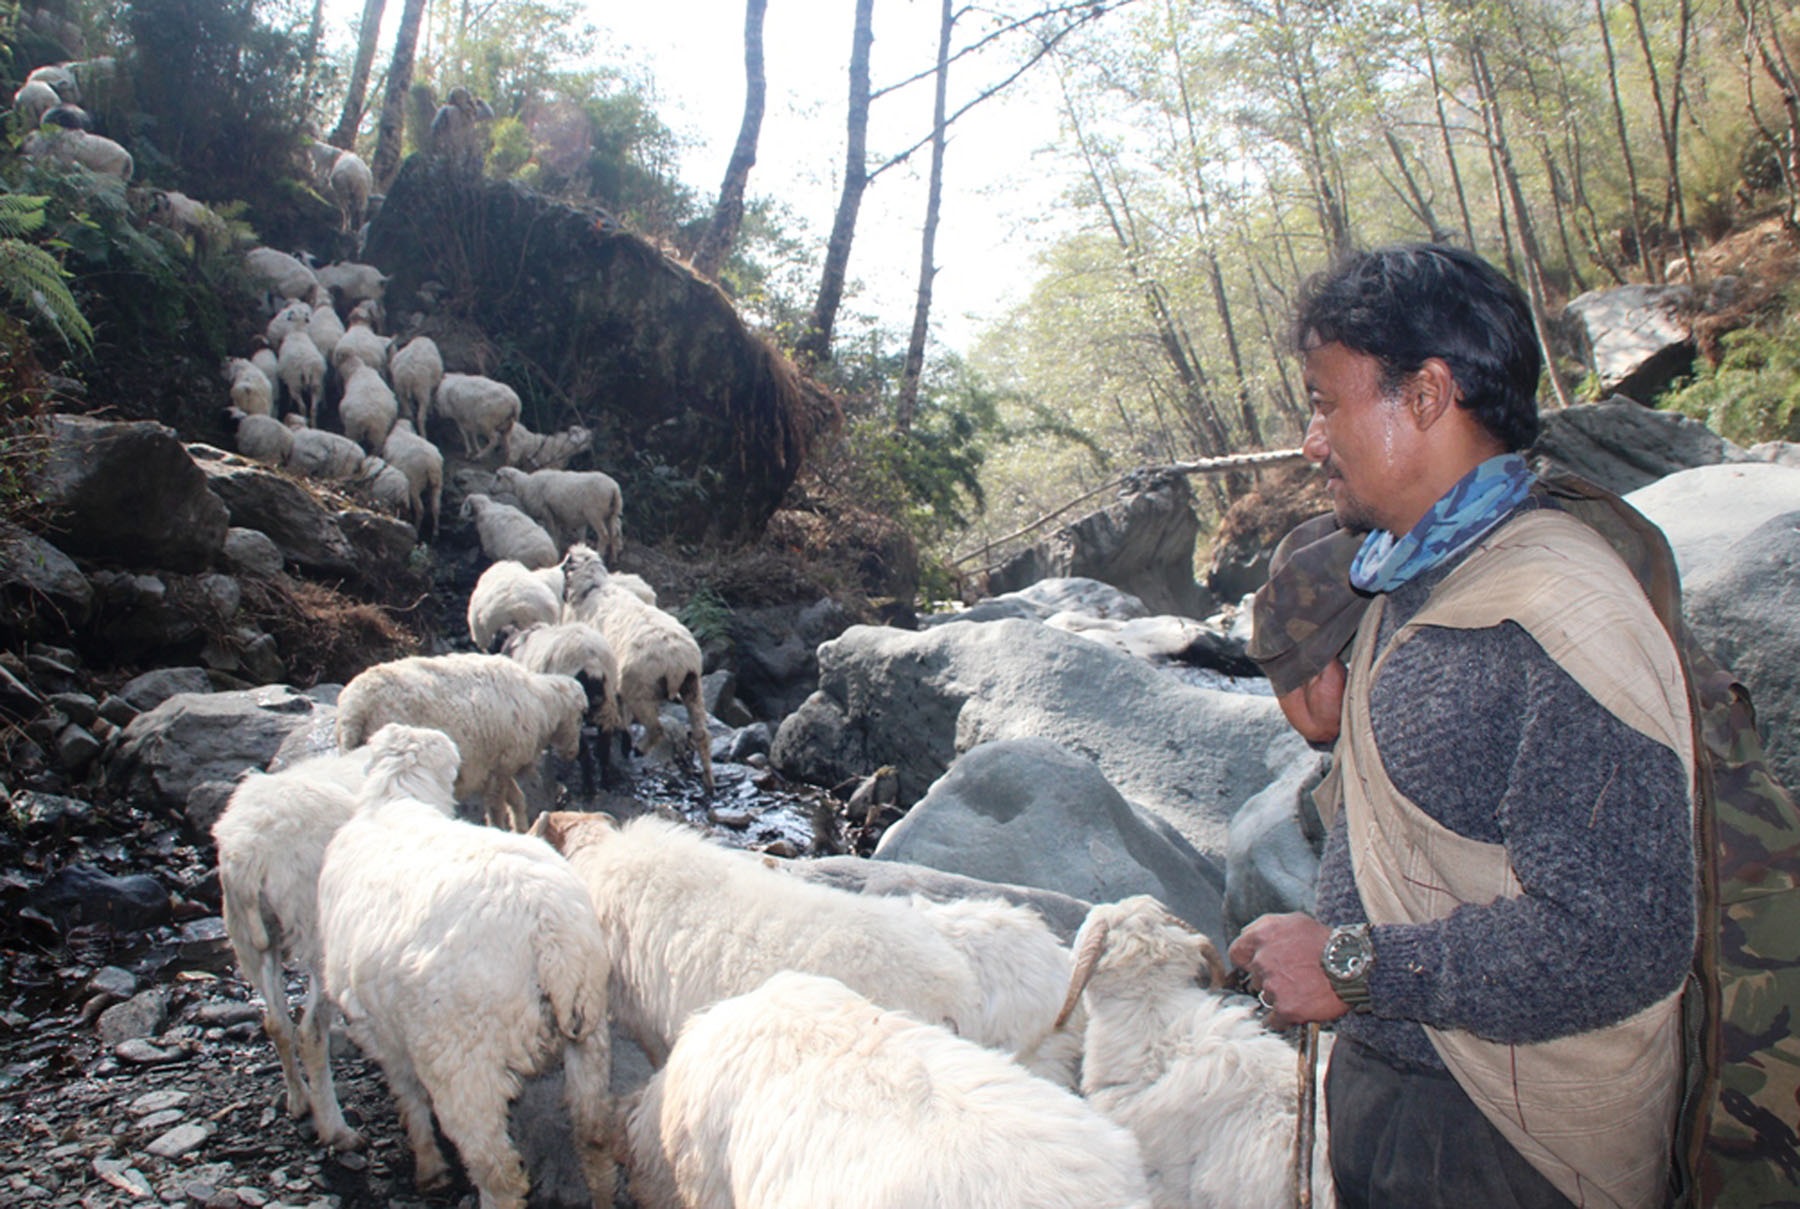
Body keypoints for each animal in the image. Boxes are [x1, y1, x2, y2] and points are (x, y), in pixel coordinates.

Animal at [324, 723, 626, 1201]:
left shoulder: (381, 1031)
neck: (396, 800)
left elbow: (408, 1093)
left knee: (499, 1172)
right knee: (594, 1136)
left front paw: (429, 1168)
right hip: (590, 1031)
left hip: (463, 1064)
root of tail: (548, 932)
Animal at [334, 651, 586, 831]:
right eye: (580, 716)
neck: (541, 704)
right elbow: (496, 806)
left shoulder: (494, 769)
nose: (573, 753)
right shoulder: (501, 764)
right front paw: (502, 829)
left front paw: (522, 829)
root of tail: (354, 709)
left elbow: (517, 799)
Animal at [561, 546, 709, 791]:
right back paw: (710, 783)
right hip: (693, 686)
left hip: (640, 690)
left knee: (656, 728)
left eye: (564, 567)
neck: (593, 590)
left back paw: (639, 749)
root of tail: (676, 661)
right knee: (702, 735)